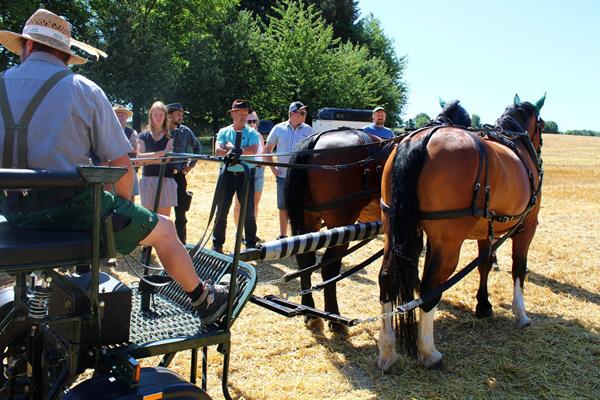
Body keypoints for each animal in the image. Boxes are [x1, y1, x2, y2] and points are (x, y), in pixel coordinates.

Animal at [380, 95, 544, 370]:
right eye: (541, 125)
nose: (539, 151)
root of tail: (421, 138)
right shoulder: (527, 226)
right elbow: (519, 268)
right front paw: (520, 313)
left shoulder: (485, 231)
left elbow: (485, 264)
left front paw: (483, 305)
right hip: (448, 244)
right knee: (429, 288)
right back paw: (429, 352)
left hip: (393, 232)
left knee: (386, 279)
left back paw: (388, 351)